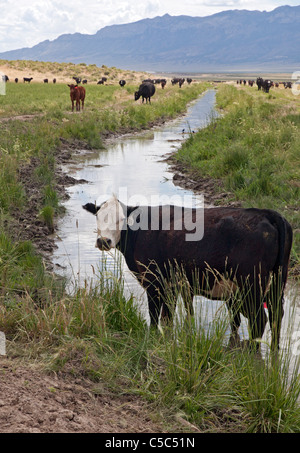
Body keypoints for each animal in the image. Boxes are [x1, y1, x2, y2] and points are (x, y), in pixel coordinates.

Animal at [84, 196, 292, 352]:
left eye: (120, 220)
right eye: (98, 217)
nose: (103, 241)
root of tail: (266, 213)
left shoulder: (153, 282)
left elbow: (154, 316)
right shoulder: (171, 286)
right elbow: (167, 318)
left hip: (251, 285)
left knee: (260, 320)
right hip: (276, 283)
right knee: (276, 315)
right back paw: (274, 351)